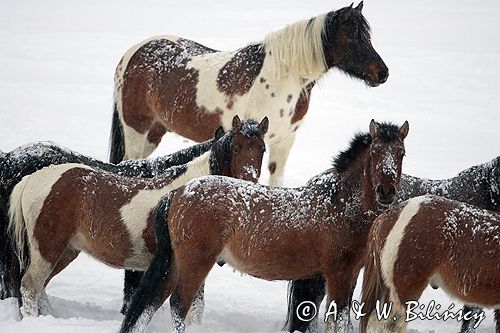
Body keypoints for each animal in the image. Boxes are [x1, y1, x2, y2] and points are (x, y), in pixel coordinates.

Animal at [5, 115, 268, 316]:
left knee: (39, 288)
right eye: (236, 147)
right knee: (30, 287)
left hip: (65, 251)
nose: (249, 184)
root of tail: (31, 179)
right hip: (47, 250)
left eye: (262, 149)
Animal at [111, 0, 388, 187]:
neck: (282, 77)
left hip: (154, 132)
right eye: (353, 38)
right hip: (136, 129)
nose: (382, 73)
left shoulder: (284, 141)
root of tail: (132, 54)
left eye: (367, 36)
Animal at [122, 119, 410, 332]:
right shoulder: (338, 274)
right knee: (178, 305)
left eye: (401, 153)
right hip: (195, 263)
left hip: (174, 264)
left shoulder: (347, 275)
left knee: (151, 304)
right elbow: (338, 321)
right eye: (375, 152)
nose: (386, 192)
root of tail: (178, 193)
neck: (339, 204)